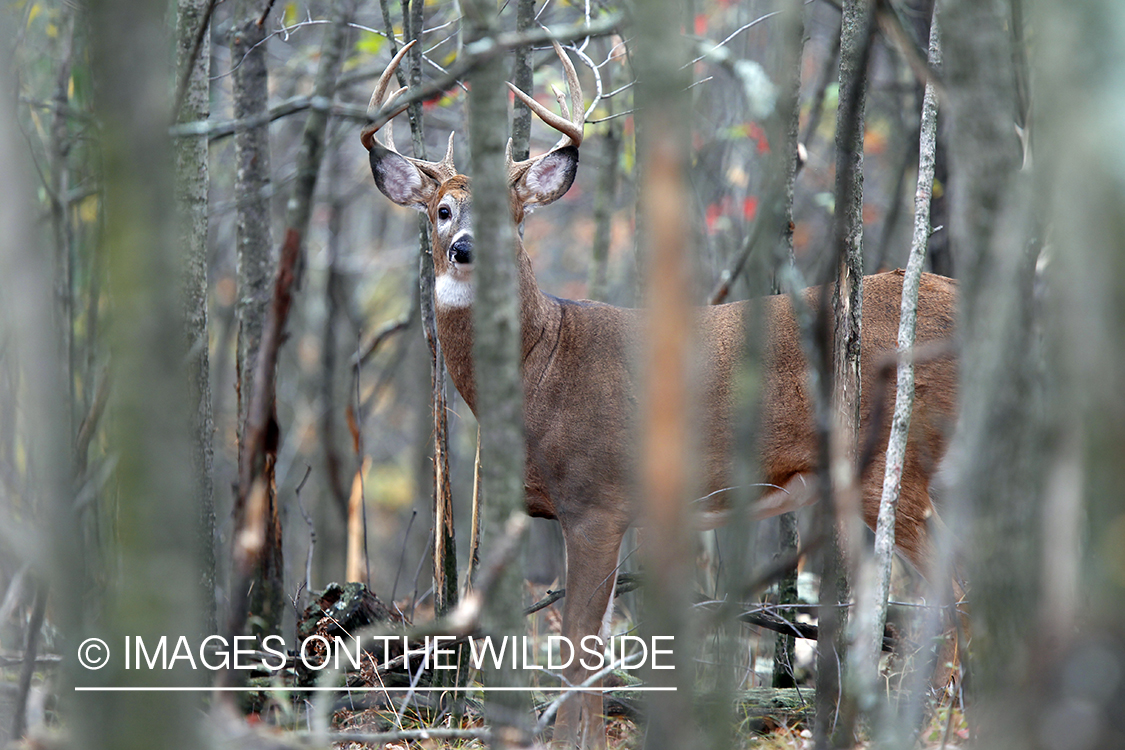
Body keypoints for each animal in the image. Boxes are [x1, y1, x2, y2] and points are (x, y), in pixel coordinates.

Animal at [360, 39, 958, 750]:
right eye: (442, 209)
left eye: (514, 217)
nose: (464, 249)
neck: (544, 364)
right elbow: (588, 649)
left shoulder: (595, 501)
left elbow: (580, 648)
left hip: (898, 460)